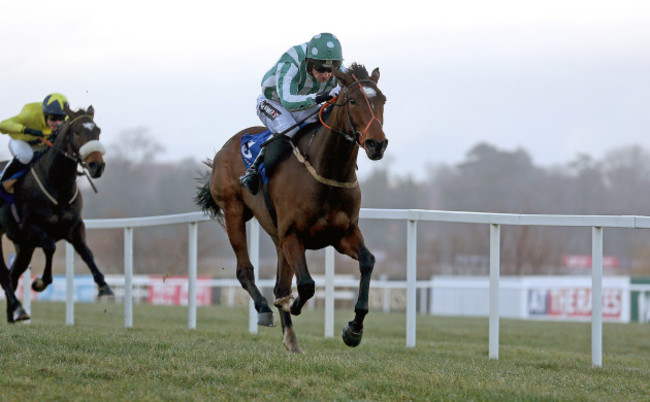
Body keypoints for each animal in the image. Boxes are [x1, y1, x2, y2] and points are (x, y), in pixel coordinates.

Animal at [0, 105, 112, 322]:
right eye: (77, 131)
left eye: (98, 130)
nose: (97, 166)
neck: (57, 185)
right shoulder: (32, 229)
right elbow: (50, 247)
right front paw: (39, 283)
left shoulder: (75, 227)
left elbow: (87, 252)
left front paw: (104, 286)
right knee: (4, 274)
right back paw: (17, 308)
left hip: (23, 247)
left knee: (12, 274)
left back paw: (14, 312)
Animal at [195, 63, 388, 352]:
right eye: (353, 100)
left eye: (383, 100)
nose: (377, 144)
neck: (325, 172)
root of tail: (224, 150)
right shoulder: (293, 235)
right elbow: (306, 285)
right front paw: (294, 305)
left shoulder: (343, 234)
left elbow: (367, 261)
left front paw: (354, 329)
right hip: (234, 212)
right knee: (245, 271)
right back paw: (265, 309)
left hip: (277, 237)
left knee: (280, 284)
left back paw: (292, 340)